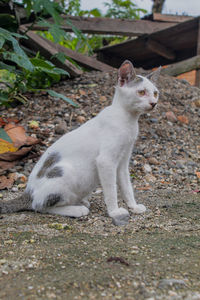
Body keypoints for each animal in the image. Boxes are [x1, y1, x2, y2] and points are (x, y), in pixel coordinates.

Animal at [0, 60, 159, 225]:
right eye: (141, 92)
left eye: (155, 93)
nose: (154, 103)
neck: (128, 120)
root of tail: (28, 193)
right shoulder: (106, 161)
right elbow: (111, 190)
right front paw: (114, 212)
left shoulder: (123, 161)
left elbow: (127, 186)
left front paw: (133, 206)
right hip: (65, 171)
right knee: (40, 206)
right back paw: (76, 210)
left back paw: (80, 202)